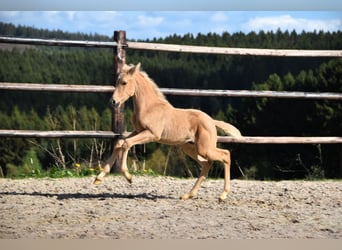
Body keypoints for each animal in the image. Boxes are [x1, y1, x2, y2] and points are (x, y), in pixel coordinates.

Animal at [93, 63, 240, 201]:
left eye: (124, 82)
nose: (113, 102)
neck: (149, 107)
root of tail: (211, 121)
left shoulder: (152, 134)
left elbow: (126, 144)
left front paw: (128, 177)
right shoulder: (138, 131)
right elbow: (119, 143)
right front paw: (98, 178)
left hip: (204, 148)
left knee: (225, 155)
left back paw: (223, 195)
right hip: (189, 147)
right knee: (206, 164)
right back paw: (188, 195)